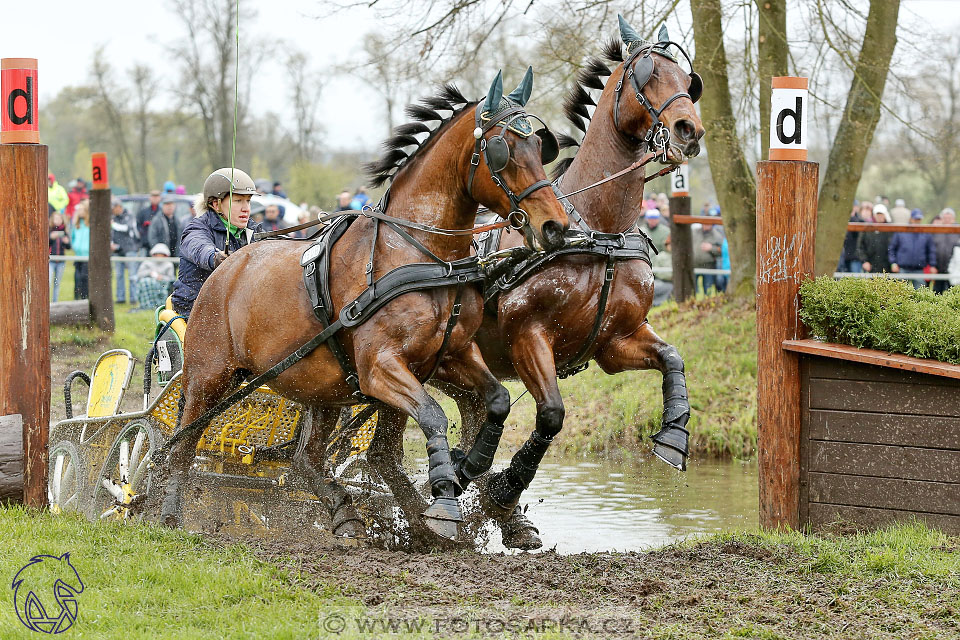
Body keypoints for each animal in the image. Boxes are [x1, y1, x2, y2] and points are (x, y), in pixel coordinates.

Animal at [154, 70, 568, 536]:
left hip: (320, 387)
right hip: (209, 376)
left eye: (540, 147)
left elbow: (495, 400)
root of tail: (227, 263)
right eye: (503, 150)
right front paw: (446, 500)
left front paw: (468, 469)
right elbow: (434, 417)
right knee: (183, 443)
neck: (422, 255)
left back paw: (356, 511)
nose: (555, 226)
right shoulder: (380, 366)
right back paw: (167, 509)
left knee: (310, 461)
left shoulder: (447, 356)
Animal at [368, 17, 704, 548]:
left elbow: (672, 357)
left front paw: (673, 434)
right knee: (381, 451)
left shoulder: (616, 342)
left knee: (468, 416)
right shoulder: (529, 335)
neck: (596, 228)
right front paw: (502, 492)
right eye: (647, 75)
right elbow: (551, 414)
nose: (689, 129)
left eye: (688, 81)